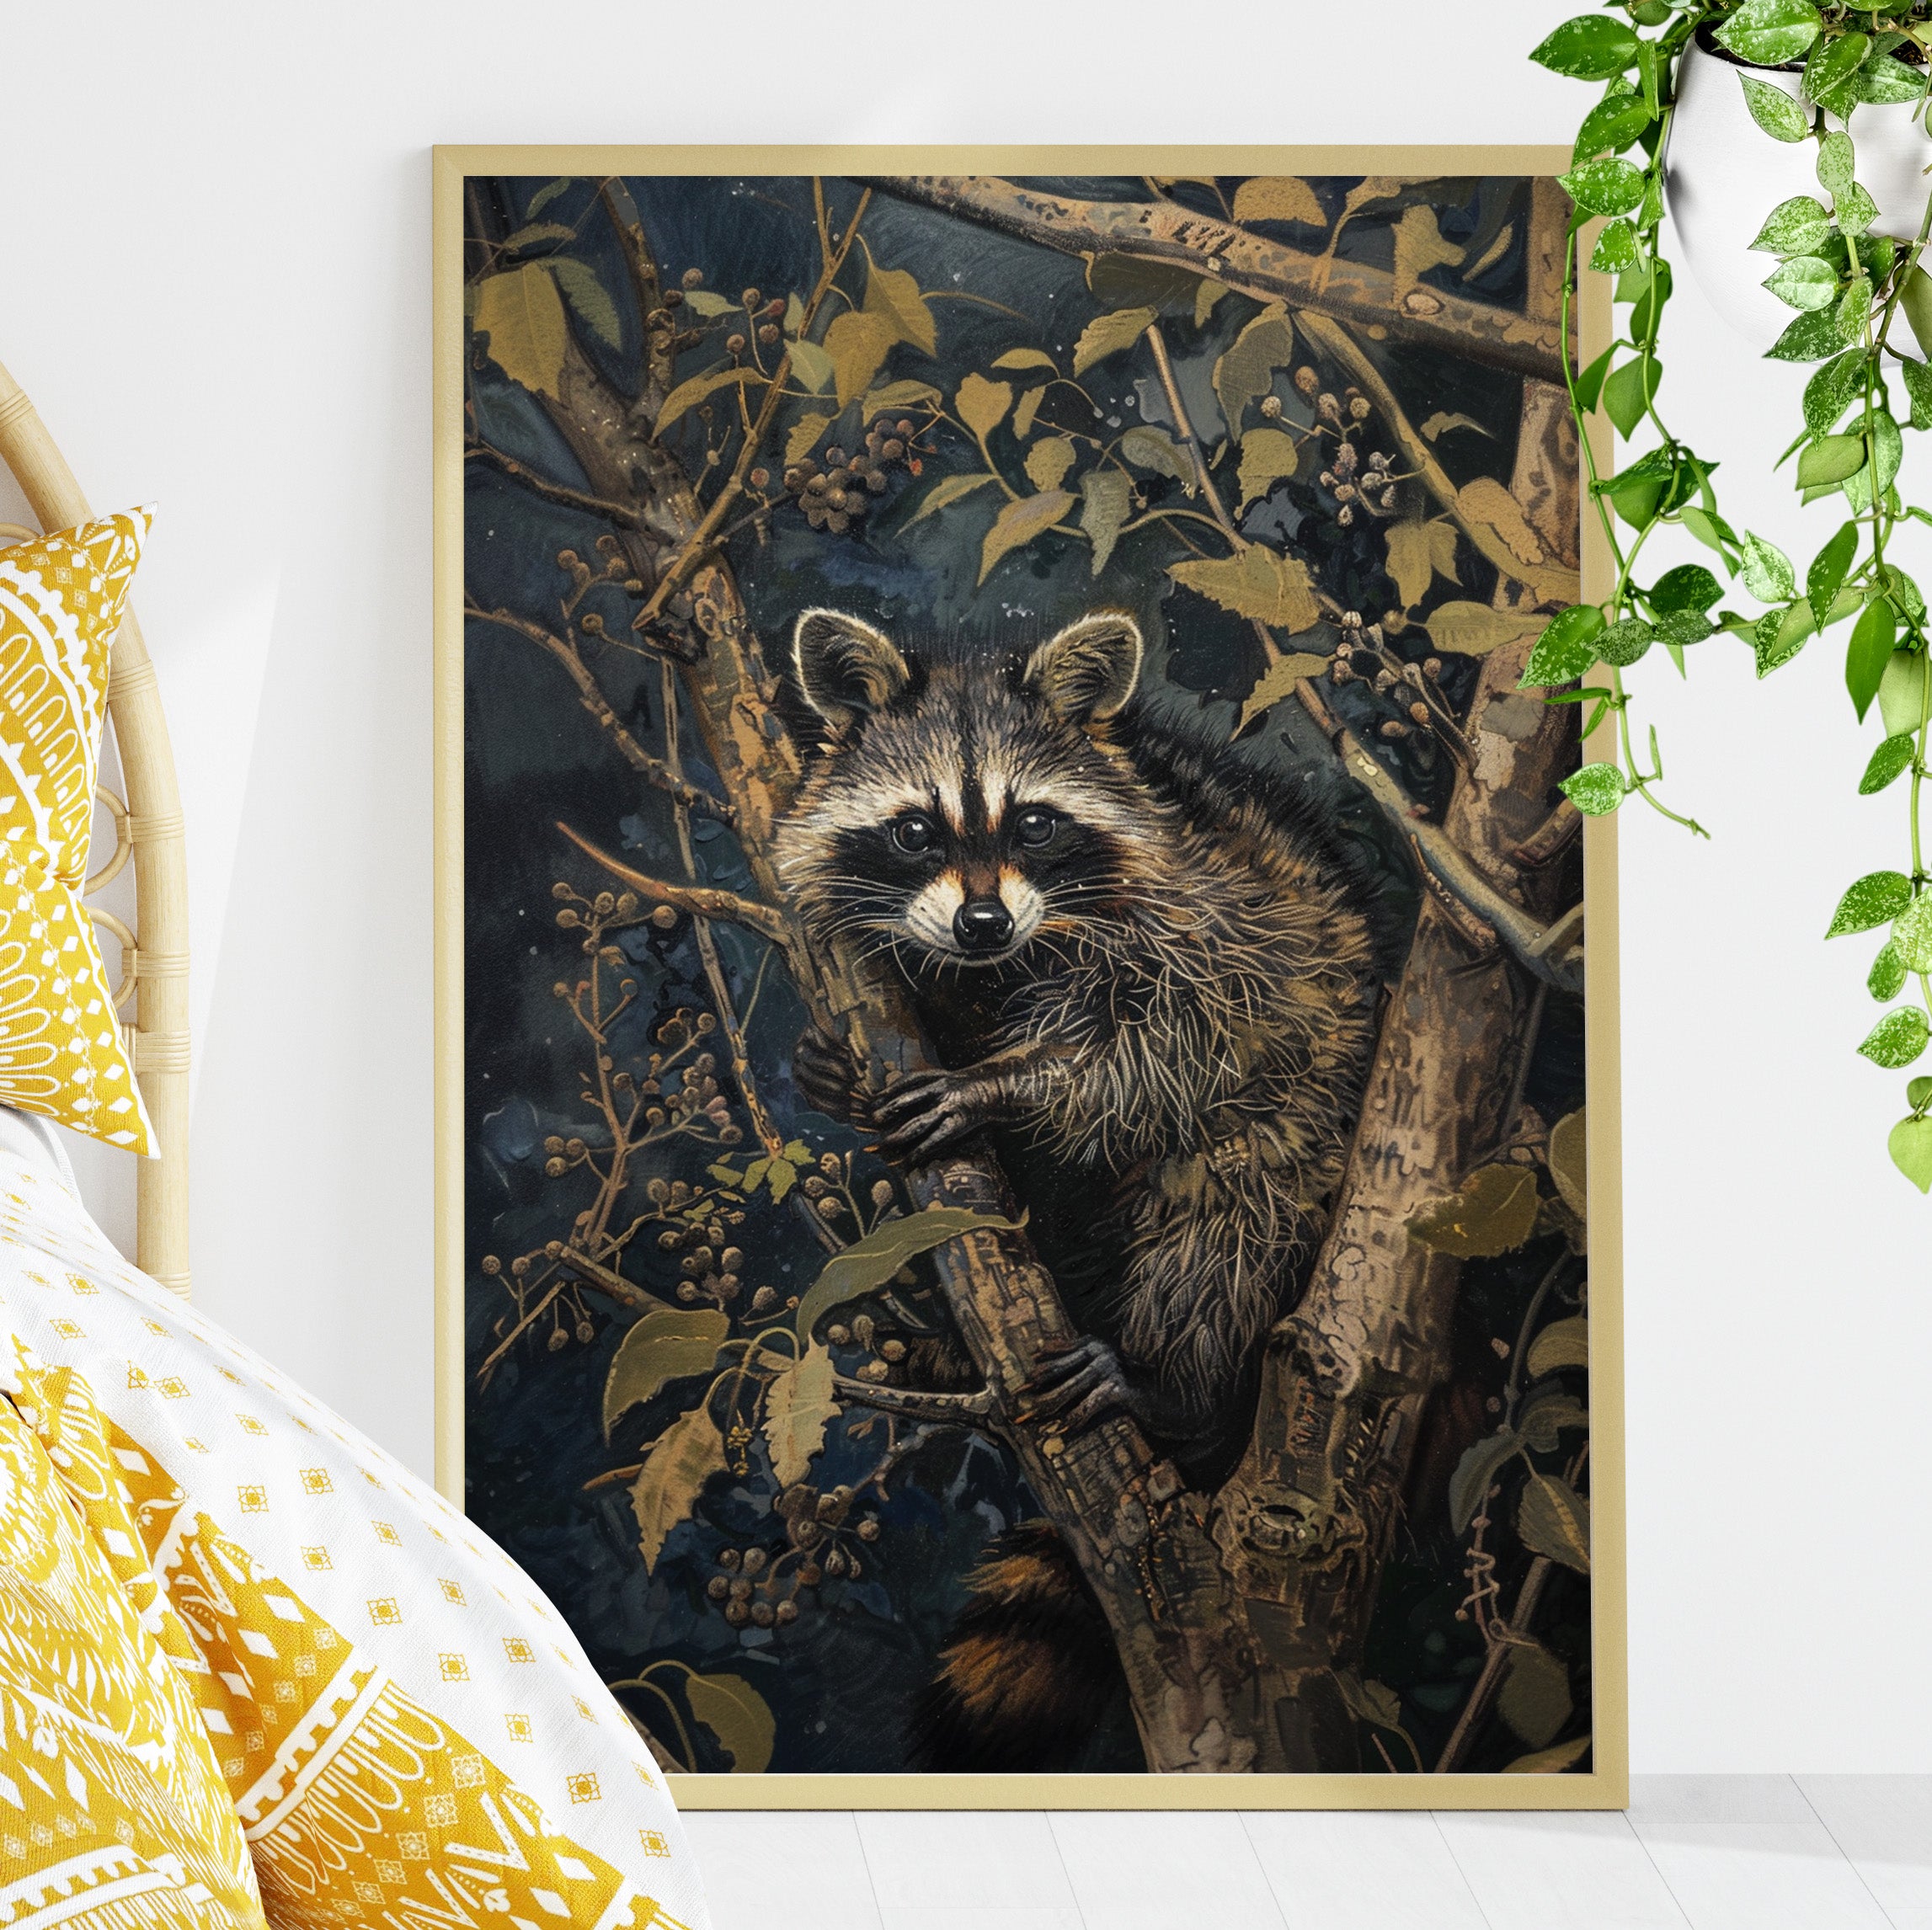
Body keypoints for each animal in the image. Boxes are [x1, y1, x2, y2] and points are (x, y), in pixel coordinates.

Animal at [772, 606, 1383, 1766]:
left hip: (1303, 1144)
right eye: (914, 830)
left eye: (1035, 824)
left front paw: (1007, 1083)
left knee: (1224, 1230)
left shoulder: (1213, 925)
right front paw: (841, 1072)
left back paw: (1169, 1381)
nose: (980, 925)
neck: (1011, 960)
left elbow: (1157, 1058)